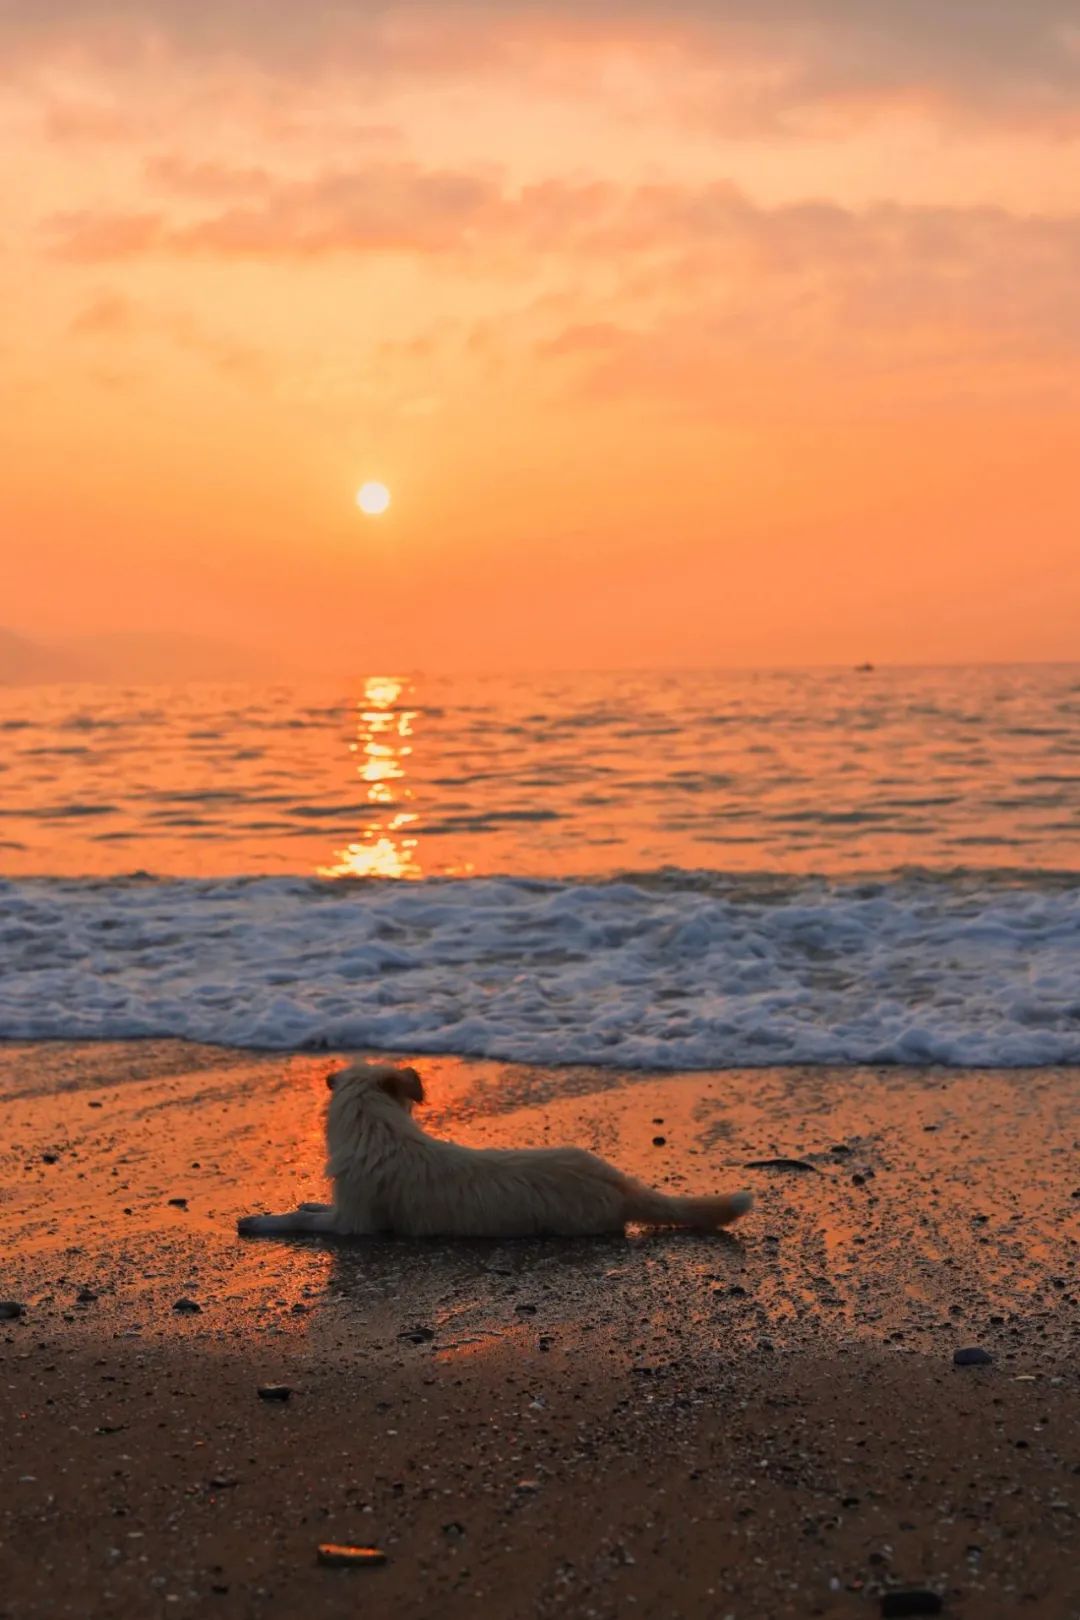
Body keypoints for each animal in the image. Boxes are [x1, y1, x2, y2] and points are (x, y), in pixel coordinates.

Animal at [241, 1062, 757, 1237]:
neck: (379, 1131)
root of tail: (617, 1181)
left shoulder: (355, 1223)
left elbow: (303, 1221)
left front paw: (263, 1221)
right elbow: (312, 1206)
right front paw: (303, 1202)